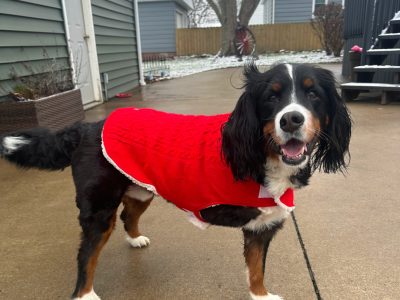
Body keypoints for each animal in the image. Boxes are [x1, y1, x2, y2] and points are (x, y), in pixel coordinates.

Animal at [0, 62, 350, 298]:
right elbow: (256, 263)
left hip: (141, 190)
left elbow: (256, 270)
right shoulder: (254, 219)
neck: (263, 156)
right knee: (87, 254)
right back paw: (85, 294)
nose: (291, 119)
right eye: (271, 97)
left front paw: (261, 296)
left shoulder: (262, 227)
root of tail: (85, 128)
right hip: (99, 209)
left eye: (313, 93)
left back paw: (135, 238)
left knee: (128, 215)